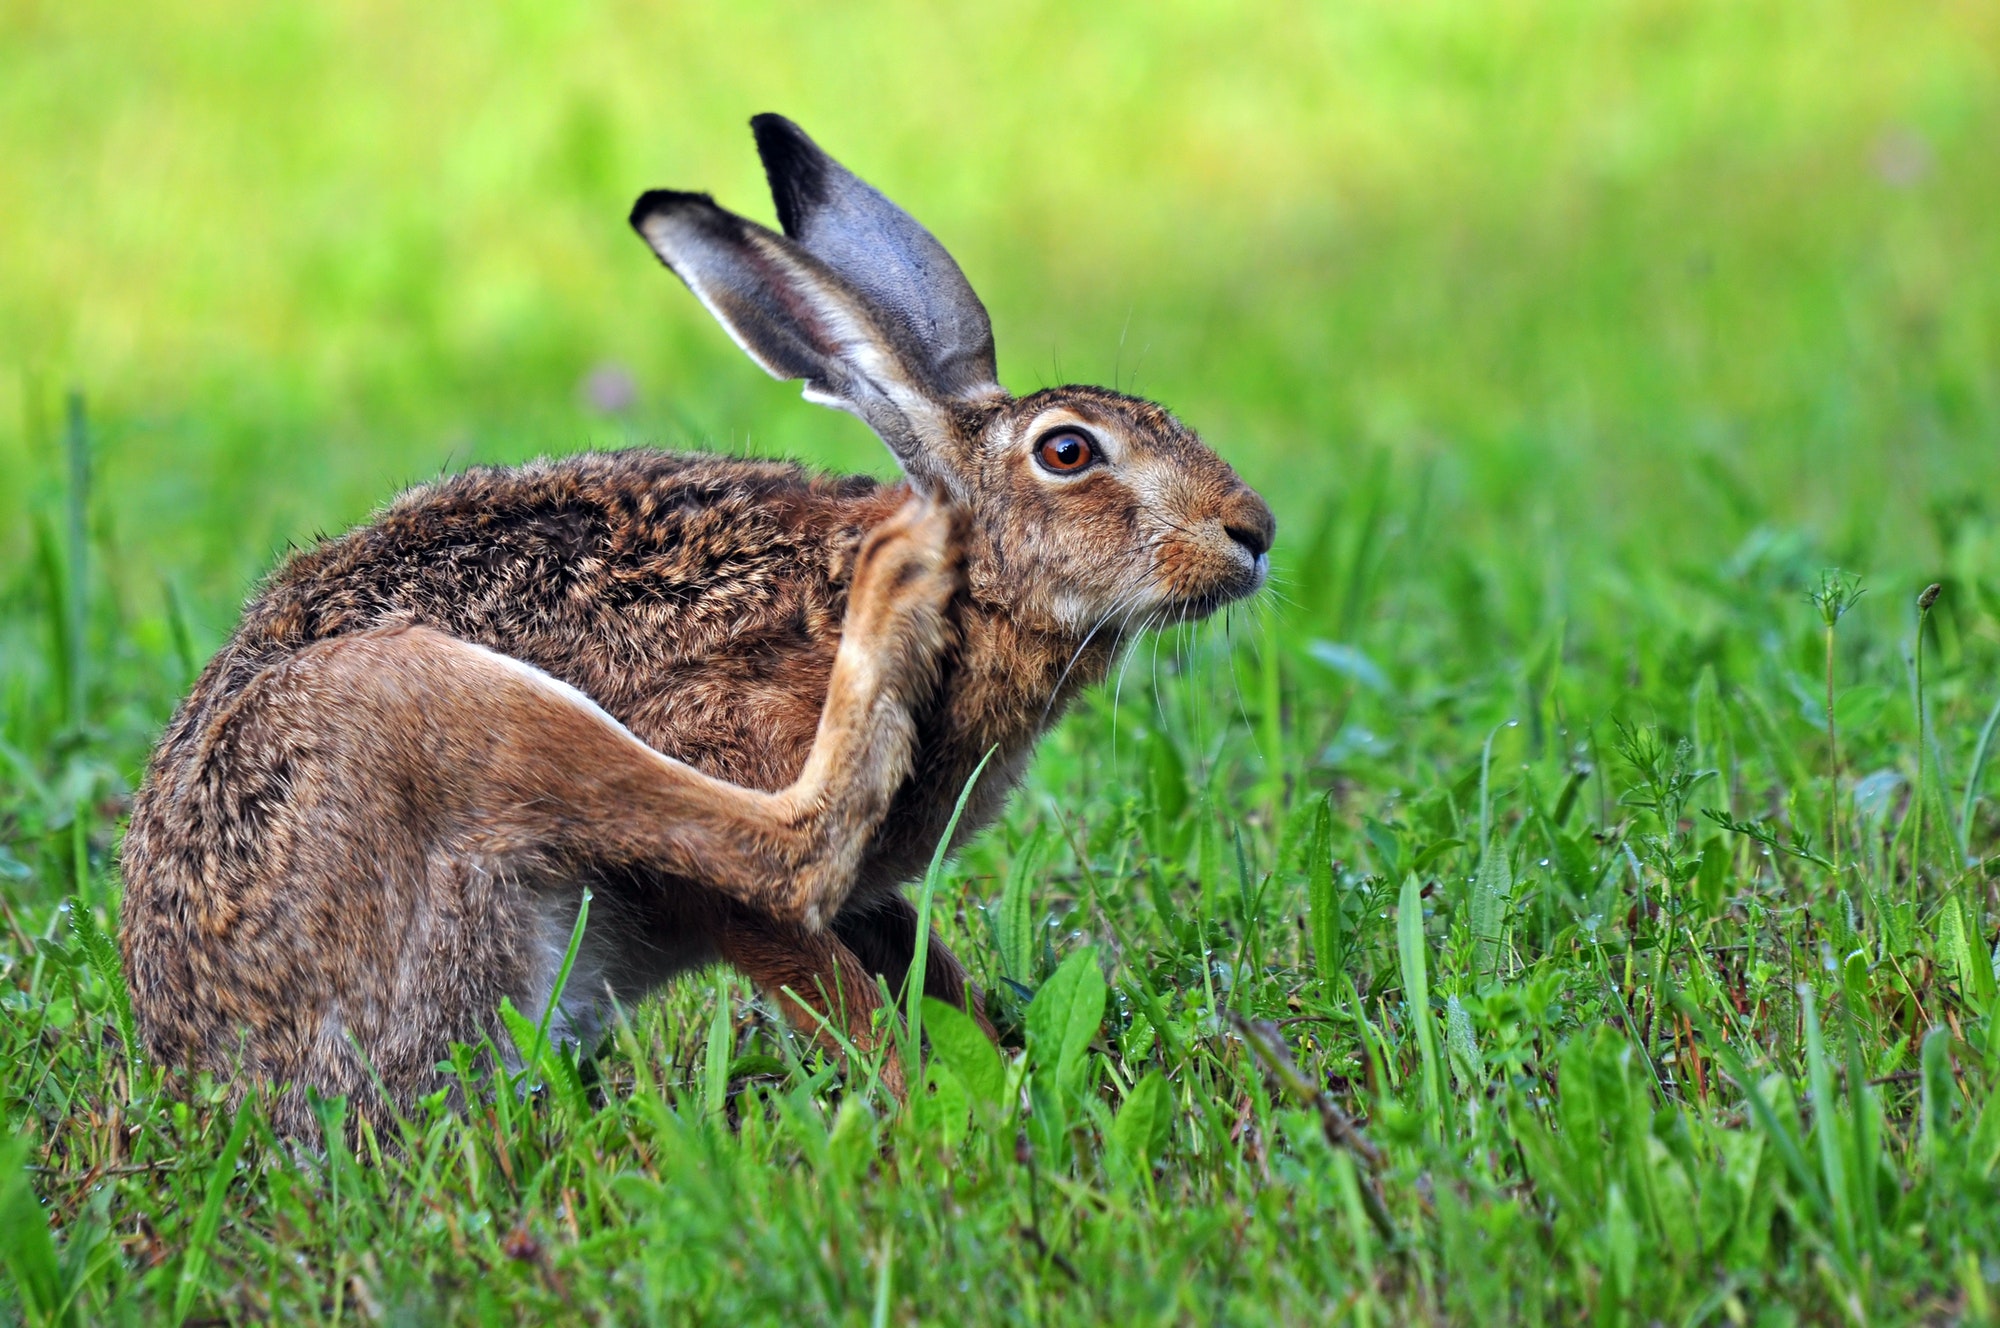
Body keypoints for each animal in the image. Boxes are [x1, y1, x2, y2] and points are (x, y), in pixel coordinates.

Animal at [119, 114, 1275, 1135]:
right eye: (1068, 452)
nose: (1253, 531)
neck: (983, 589)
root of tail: (229, 1072)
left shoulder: (874, 902)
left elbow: (928, 973)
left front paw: (1003, 1067)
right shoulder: (719, 807)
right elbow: (823, 970)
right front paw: (944, 1106)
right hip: (425, 704)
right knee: (783, 844)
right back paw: (895, 580)